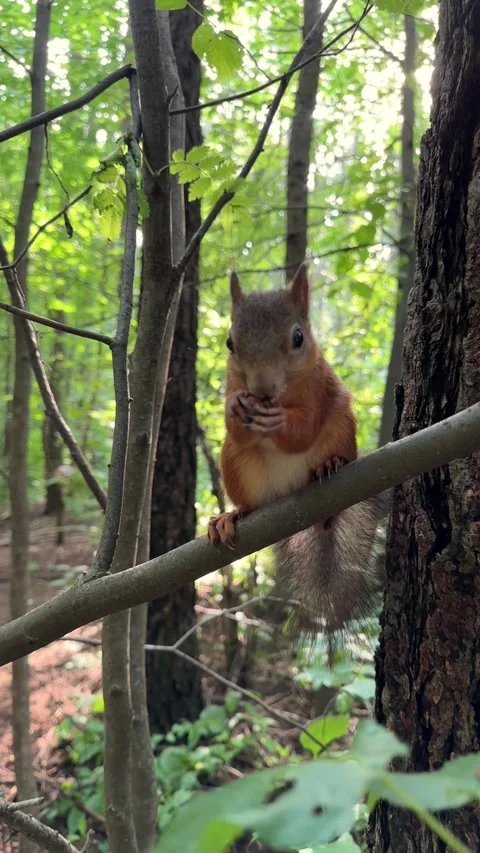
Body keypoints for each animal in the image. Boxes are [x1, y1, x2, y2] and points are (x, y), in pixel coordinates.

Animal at [208, 263, 388, 652]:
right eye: (229, 343)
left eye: (299, 338)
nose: (261, 389)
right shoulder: (233, 381)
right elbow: (236, 427)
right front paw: (233, 409)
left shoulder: (318, 387)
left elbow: (302, 430)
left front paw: (281, 422)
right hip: (234, 464)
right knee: (249, 501)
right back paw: (230, 517)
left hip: (341, 428)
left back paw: (329, 465)